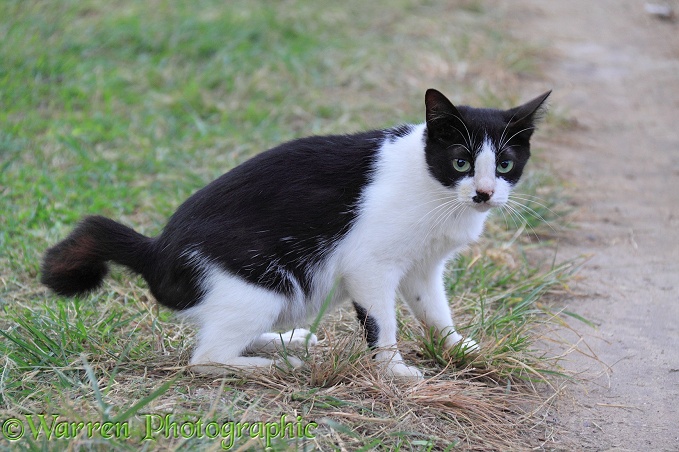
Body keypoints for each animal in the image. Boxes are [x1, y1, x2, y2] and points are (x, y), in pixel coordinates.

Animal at [41, 88, 552, 378]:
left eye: (506, 165)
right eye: (461, 162)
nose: (484, 194)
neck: (437, 191)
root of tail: (157, 250)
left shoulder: (423, 266)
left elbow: (434, 310)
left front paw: (457, 347)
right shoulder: (369, 264)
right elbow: (382, 323)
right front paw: (394, 371)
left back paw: (285, 341)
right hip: (263, 284)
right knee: (206, 358)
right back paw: (274, 365)